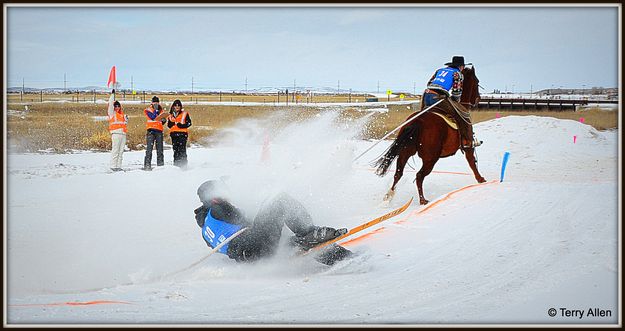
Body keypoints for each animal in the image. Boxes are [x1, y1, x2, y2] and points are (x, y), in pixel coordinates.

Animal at [372, 65, 486, 205]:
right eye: (477, 81)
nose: (478, 99)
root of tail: (417, 121)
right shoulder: (468, 146)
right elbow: (472, 162)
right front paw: (480, 179)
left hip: (405, 152)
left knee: (398, 173)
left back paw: (388, 196)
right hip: (430, 159)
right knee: (419, 176)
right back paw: (423, 200)